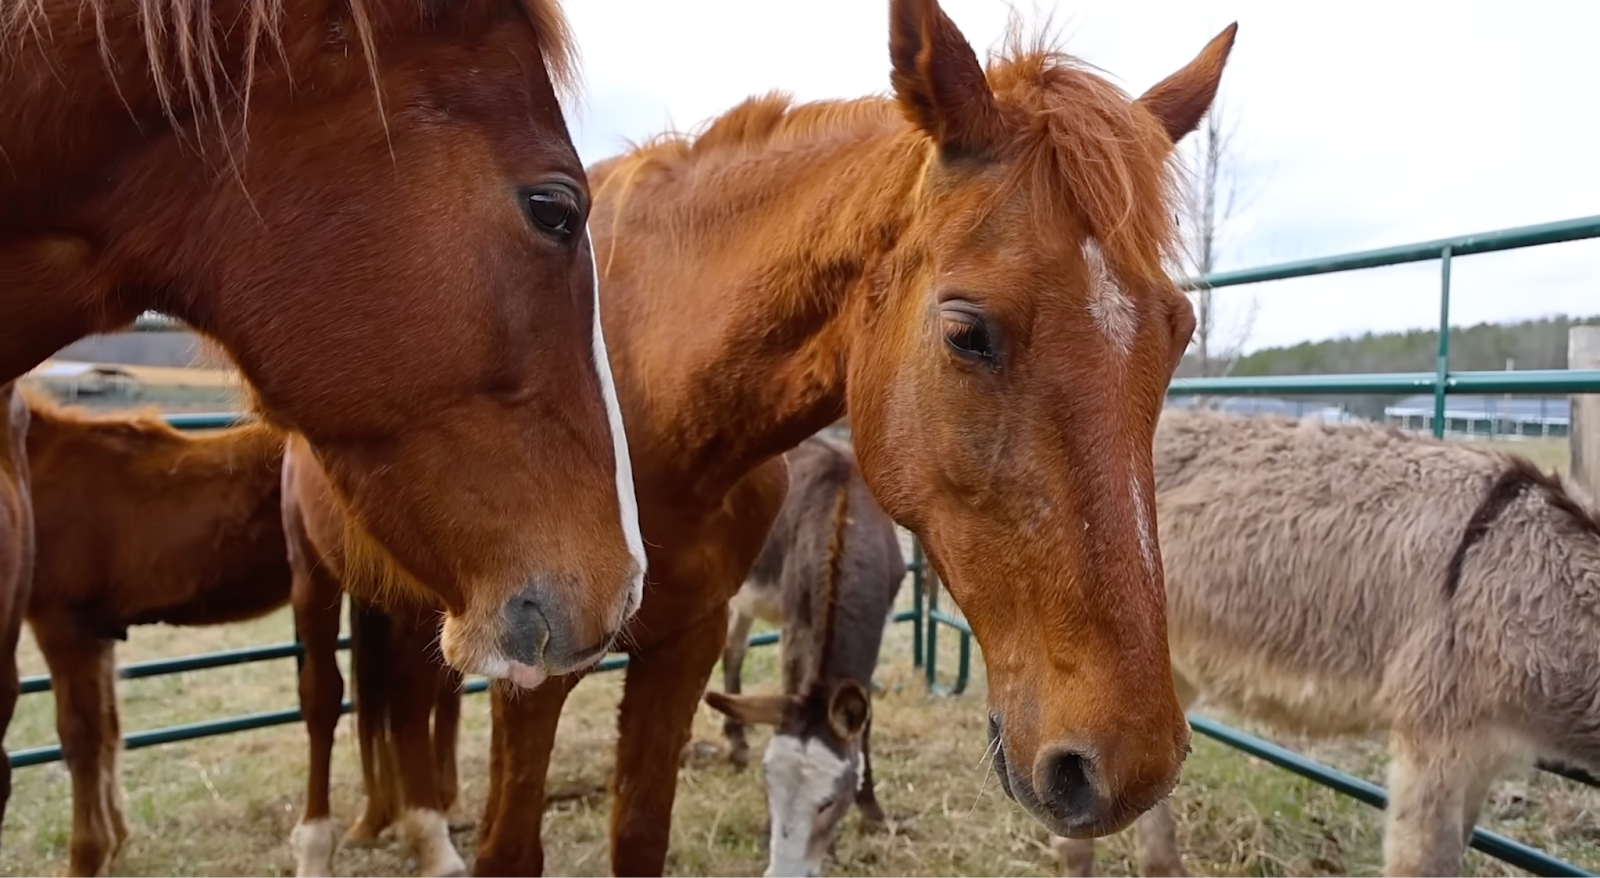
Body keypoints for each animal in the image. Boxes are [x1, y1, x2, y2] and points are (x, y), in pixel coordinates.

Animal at [20, 392, 289, 878]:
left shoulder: (65, 628)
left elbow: (80, 738)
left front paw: (87, 856)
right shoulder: (101, 634)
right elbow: (110, 730)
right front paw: (117, 841)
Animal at [705, 433, 905, 878]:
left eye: (828, 803)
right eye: (768, 787)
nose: (785, 873)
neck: (844, 517)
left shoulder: (880, 623)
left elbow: (865, 722)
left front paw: (872, 809)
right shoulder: (796, 624)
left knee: (733, 650)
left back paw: (738, 739)